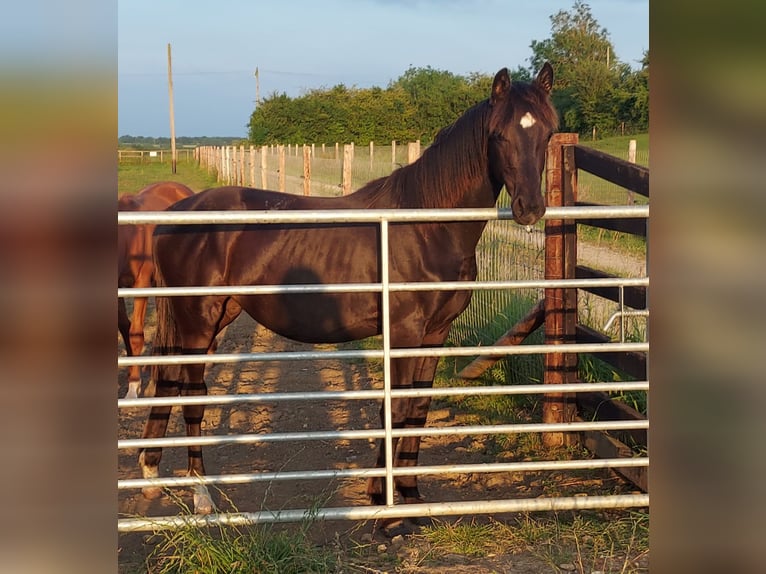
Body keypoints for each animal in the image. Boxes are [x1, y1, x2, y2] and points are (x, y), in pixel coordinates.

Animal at [140, 64, 560, 532]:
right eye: (499, 135)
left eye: (547, 133)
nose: (530, 208)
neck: (426, 225)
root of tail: (172, 216)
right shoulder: (403, 332)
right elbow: (395, 411)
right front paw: (386, 511)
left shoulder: (436, 332)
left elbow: (417, 408)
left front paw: (411, 499)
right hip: (198, 321)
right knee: (191, 396)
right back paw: (202, 499)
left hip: (211, 320)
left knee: (168, 383)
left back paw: (151, 477)